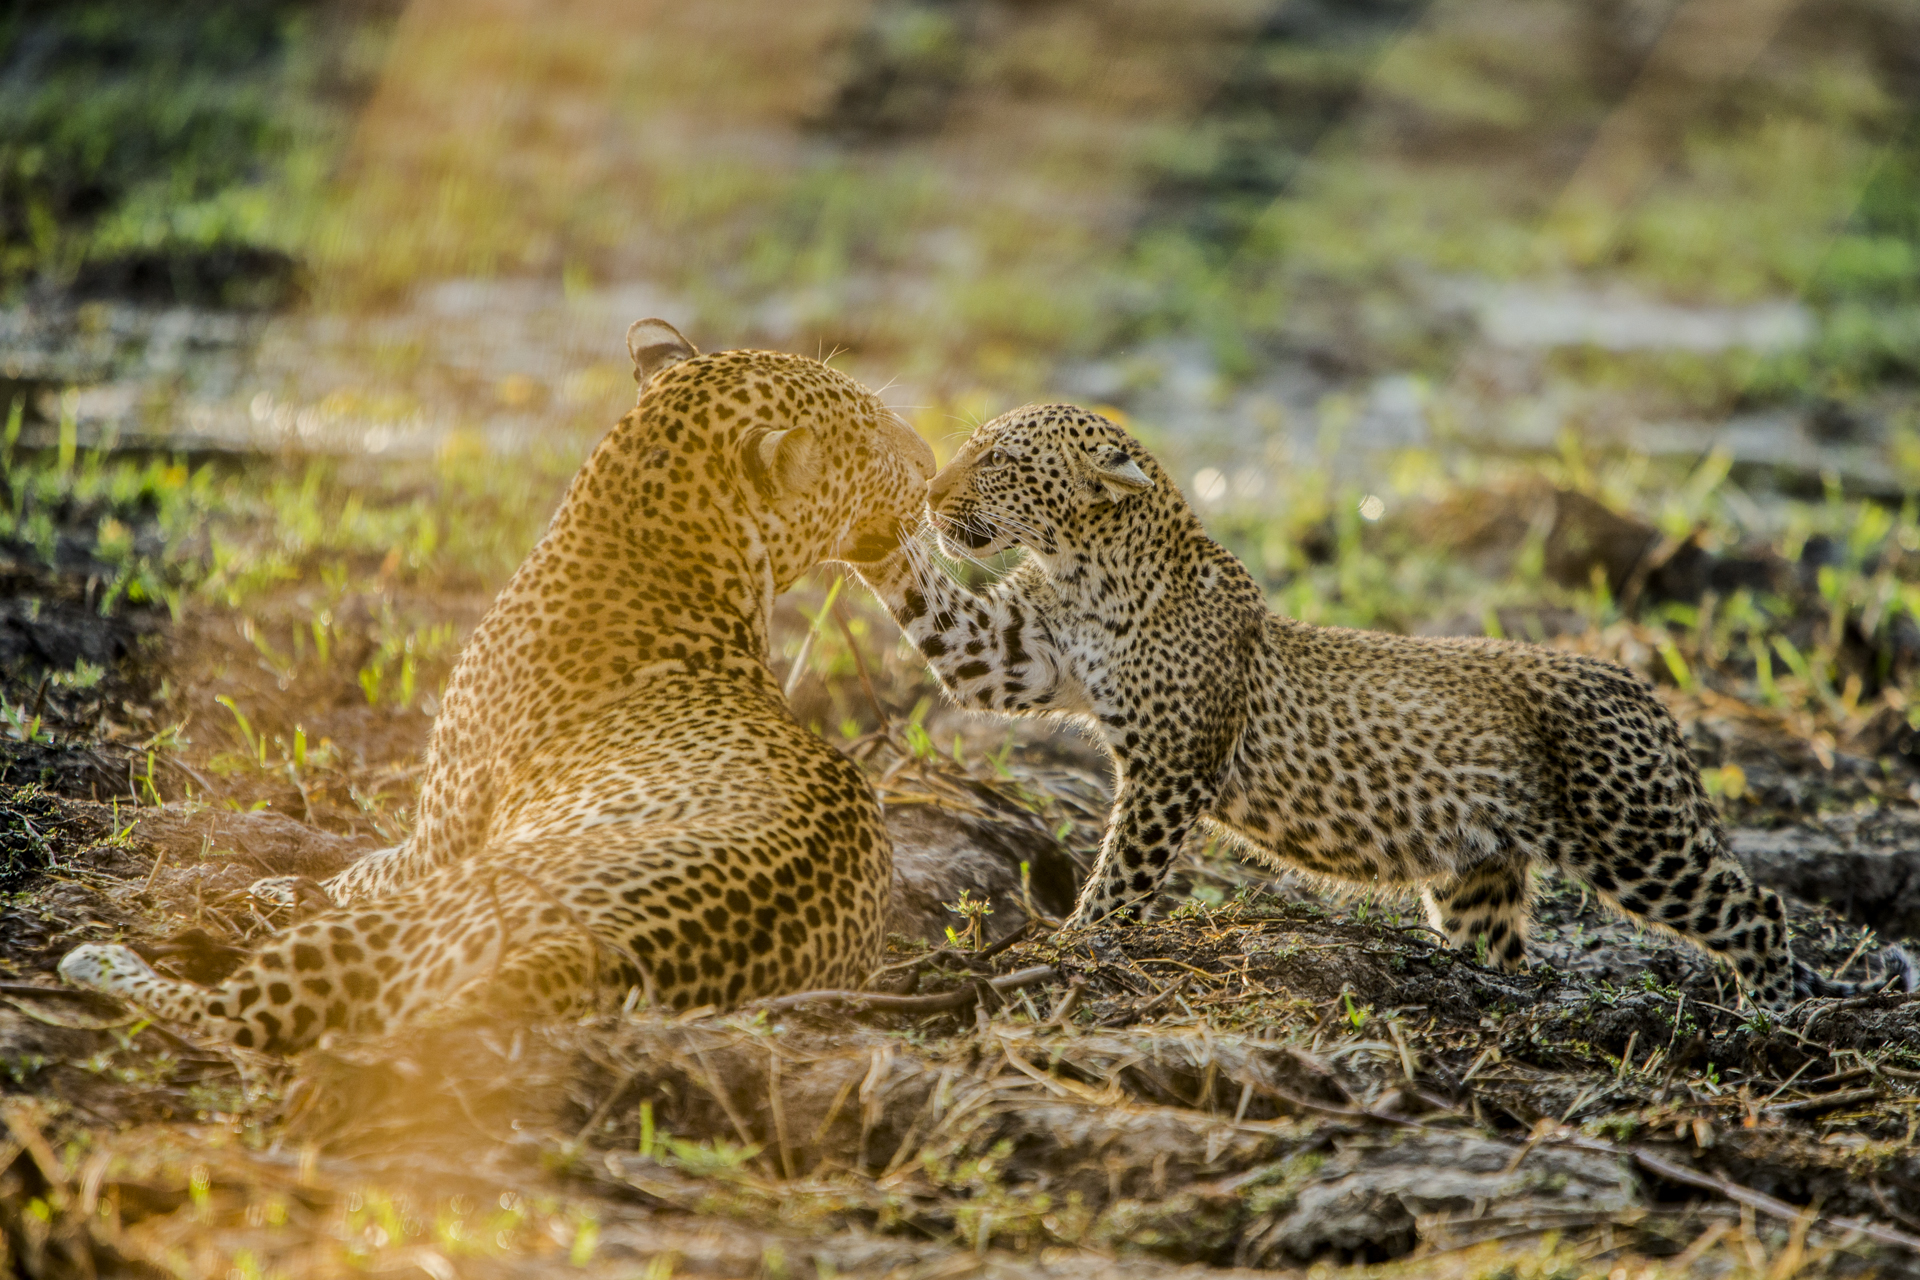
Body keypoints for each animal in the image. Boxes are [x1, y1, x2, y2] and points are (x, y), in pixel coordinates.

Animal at [69, 322, 944, 1051]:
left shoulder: (438, 835)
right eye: (874, 435)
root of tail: (599, 952)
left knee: (236, 1015)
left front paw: (292, 879)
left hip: (424, 908)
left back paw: (105, 958)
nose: (933, 465)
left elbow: (362, 866)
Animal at [864, 402, 1912, 1013]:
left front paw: (1080, 945)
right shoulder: (1014, 655)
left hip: (1639, 838)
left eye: (1000, 461)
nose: (937, 486)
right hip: (1481, 876)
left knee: (1756, 907)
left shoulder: (1172, 766)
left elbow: (1124, 872)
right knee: (1504, 946)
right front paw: (866, 514)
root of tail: (1645, 691)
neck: (1084, 565)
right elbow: (936, 608)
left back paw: (1772, 1011)